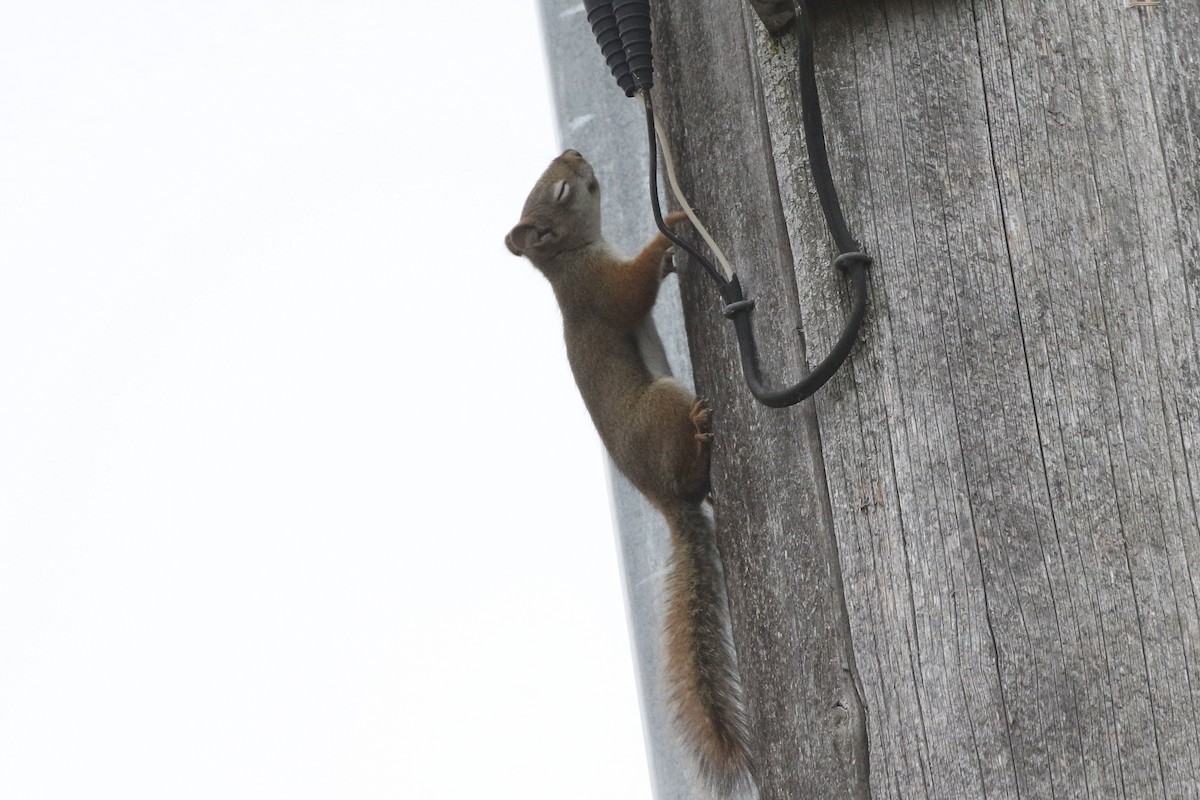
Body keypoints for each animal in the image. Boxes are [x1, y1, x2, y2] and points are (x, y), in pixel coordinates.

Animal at [506, 149, 753, 796]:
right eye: (560, 191)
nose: (573, 154)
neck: (569, 260)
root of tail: (664, 499)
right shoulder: (599, 290)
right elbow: (630, 291)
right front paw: (670, 228)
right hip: (663, 405)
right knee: (691, 464)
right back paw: (701, 430)